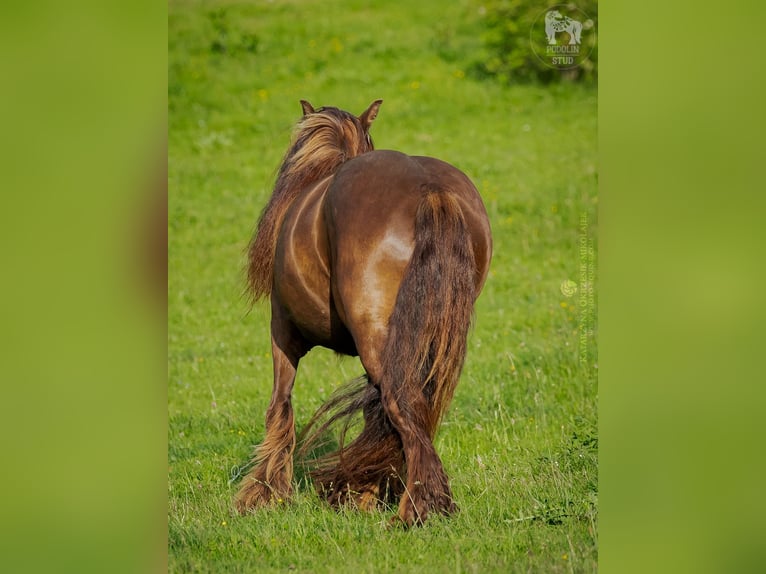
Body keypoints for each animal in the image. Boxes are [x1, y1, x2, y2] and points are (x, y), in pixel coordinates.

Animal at [234, 100, 496, 528]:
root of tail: (430, 189)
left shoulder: (282, 334)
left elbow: (280, 406)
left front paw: (264, 495)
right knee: (414, 411)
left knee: (401, 410)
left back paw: (414, 512)